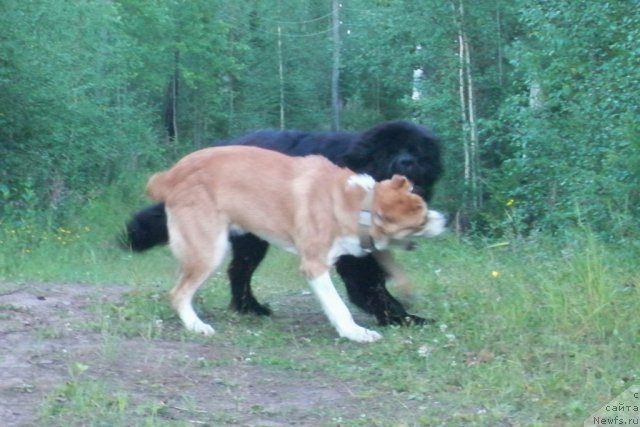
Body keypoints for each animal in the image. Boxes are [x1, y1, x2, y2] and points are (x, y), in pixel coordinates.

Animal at [125, 122, 444, 326]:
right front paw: (400, 317)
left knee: (238, 270)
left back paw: (248, 307)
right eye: (389, 151)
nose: (406, 162)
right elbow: (369, 286)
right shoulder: (350, 252)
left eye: (417, 151)